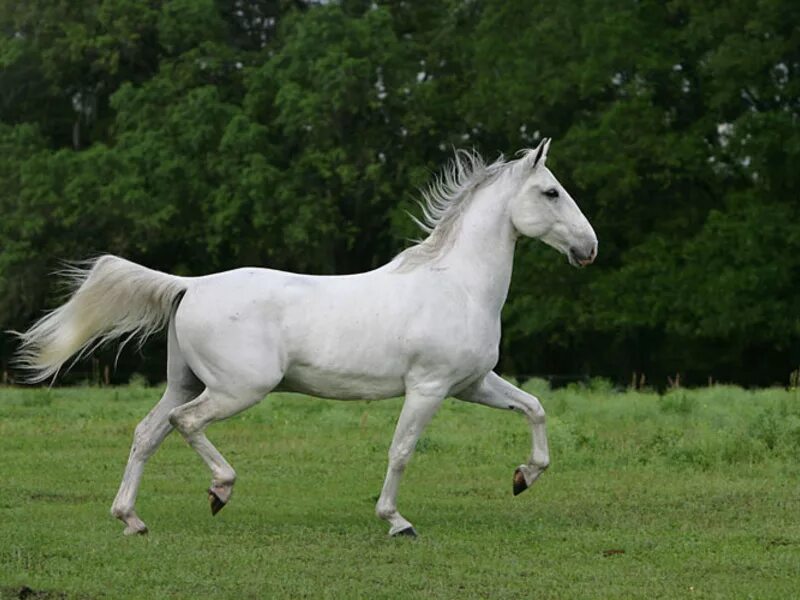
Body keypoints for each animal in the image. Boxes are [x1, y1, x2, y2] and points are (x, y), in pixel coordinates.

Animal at [17, 139, 592, 536]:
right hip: (237, 389)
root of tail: (191, 284)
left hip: (185, 382)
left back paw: (131, 519)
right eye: (550, 192)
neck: (458, 285)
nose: (590, 248)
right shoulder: (428, 388)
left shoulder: (471, 383)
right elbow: (402, 450)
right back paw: (219, 490)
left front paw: (523, 477)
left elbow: (535, 408)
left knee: (146, 433)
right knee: (185, 423)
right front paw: (396, 521)